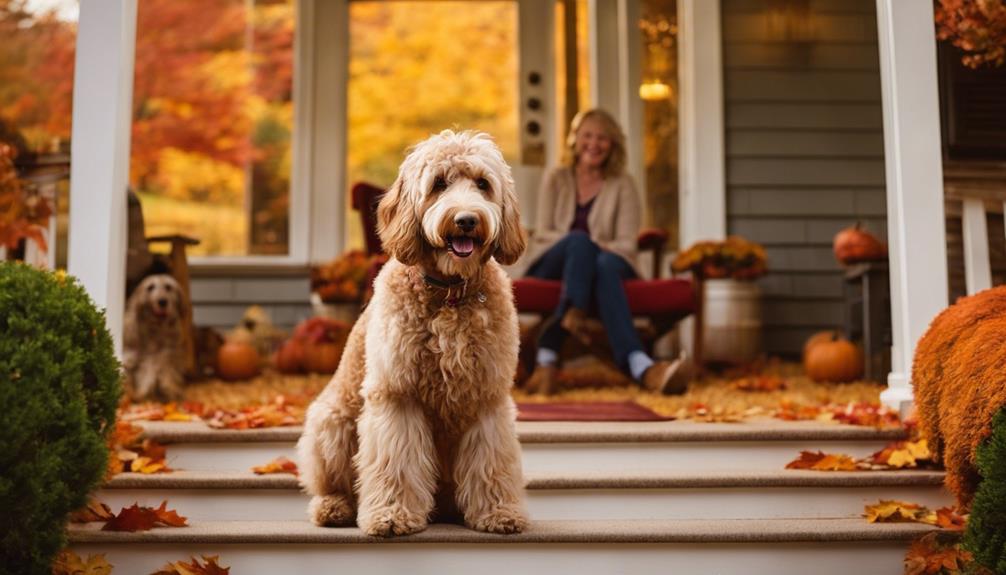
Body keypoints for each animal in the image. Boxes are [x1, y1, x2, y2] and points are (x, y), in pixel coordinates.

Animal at [295, 128, 531, 534]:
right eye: (438, 184)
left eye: (483, 184)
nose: (467, 220)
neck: (449, 293)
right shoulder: (397, 394)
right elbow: (396, 462)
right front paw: (391, 514)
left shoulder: (488, 397)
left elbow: (492, 460)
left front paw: (498, 511)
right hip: (331, 426)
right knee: (330, 484)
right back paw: (333, 507)